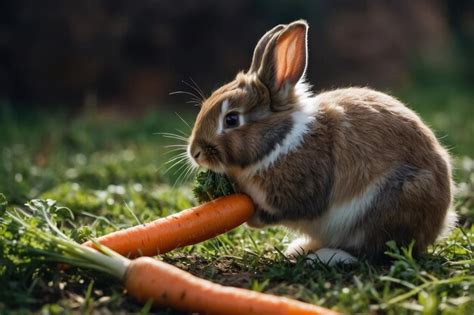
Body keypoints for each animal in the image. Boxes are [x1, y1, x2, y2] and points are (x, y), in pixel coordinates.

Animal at [184, 19, 456, 266]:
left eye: (231, 119)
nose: (195, 153)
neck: (280, 140)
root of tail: (439, 223)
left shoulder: (300, 188)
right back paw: (301, 248)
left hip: (389, 204)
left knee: (375, 250)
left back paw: (324, 257)